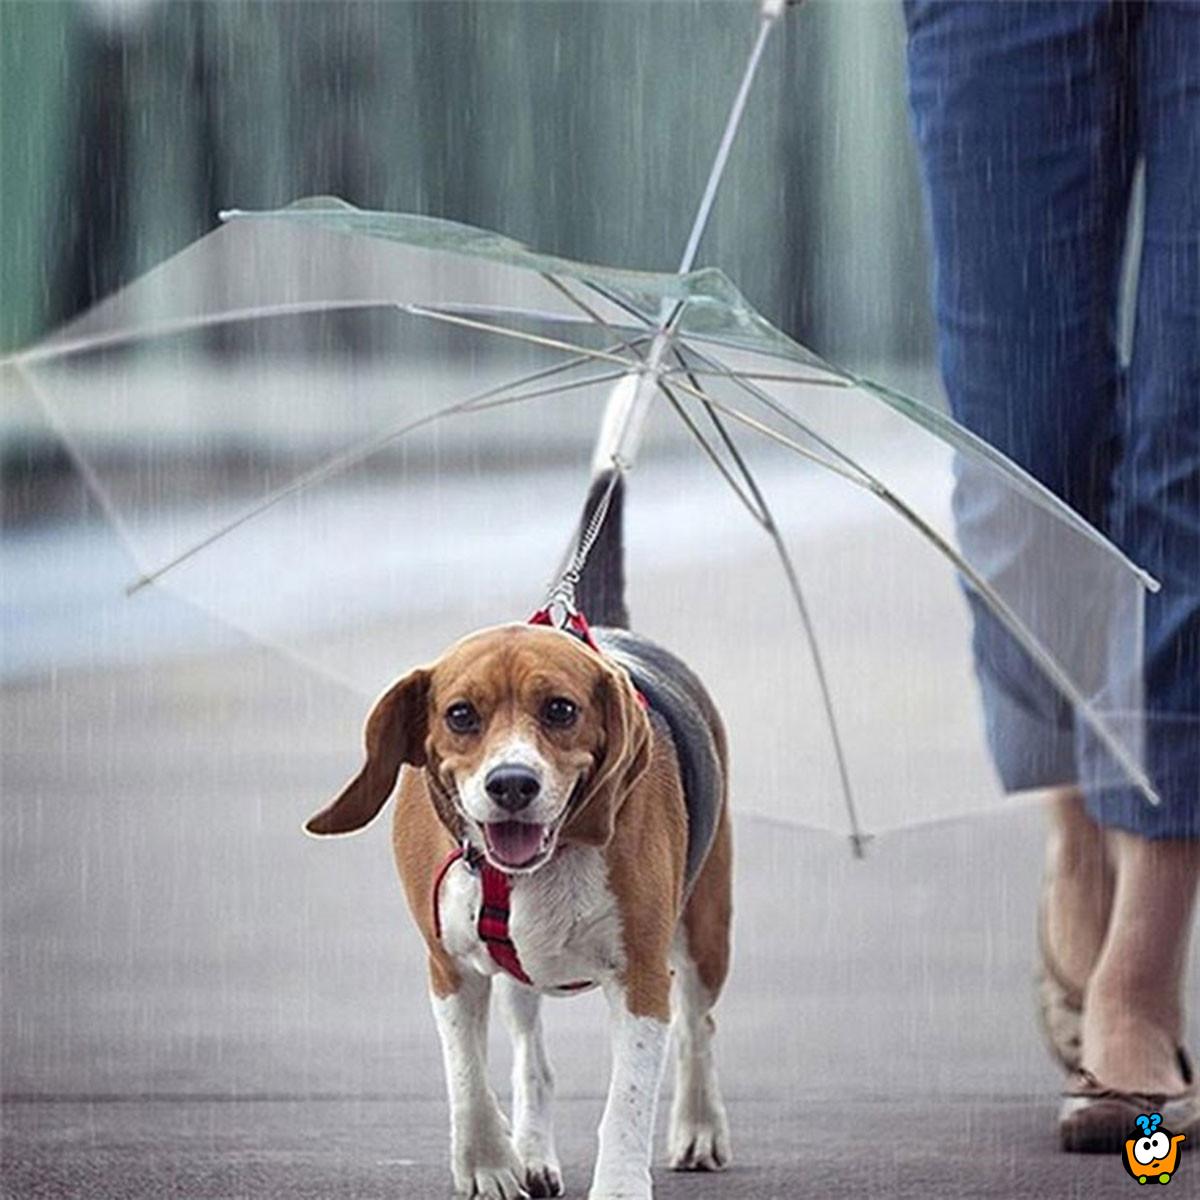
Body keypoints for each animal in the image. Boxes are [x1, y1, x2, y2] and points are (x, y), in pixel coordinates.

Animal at [304, 470, 729, 1200]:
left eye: (560, 710)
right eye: (460, 715)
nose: (511, 784)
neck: (536, 864)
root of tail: (605, 626)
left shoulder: (643, 975)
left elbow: (627, 1103)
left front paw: (619, 1185)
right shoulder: (448, 967)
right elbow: (468, 1077)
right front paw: (488, 1163)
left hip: (705, 930)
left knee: (697, 1026)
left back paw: (699, 1125)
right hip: (516, 980)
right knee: (533, 1061)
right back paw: (531, 1150)